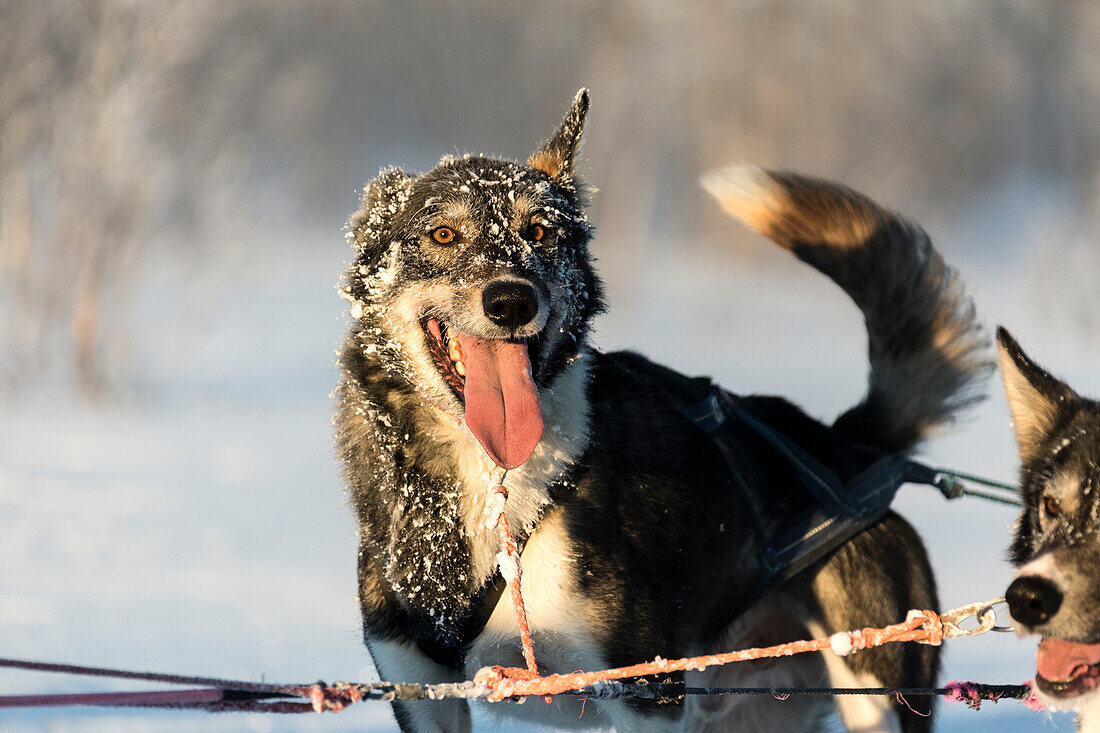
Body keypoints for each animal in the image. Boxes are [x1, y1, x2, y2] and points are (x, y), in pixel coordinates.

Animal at [332, 88, 990, 726]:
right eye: (443, 234)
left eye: (538, 232)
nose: (512, 300)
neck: (491, 482)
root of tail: (846, 446)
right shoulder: (422, 690)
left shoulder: (644, 690)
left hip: (874, 687)